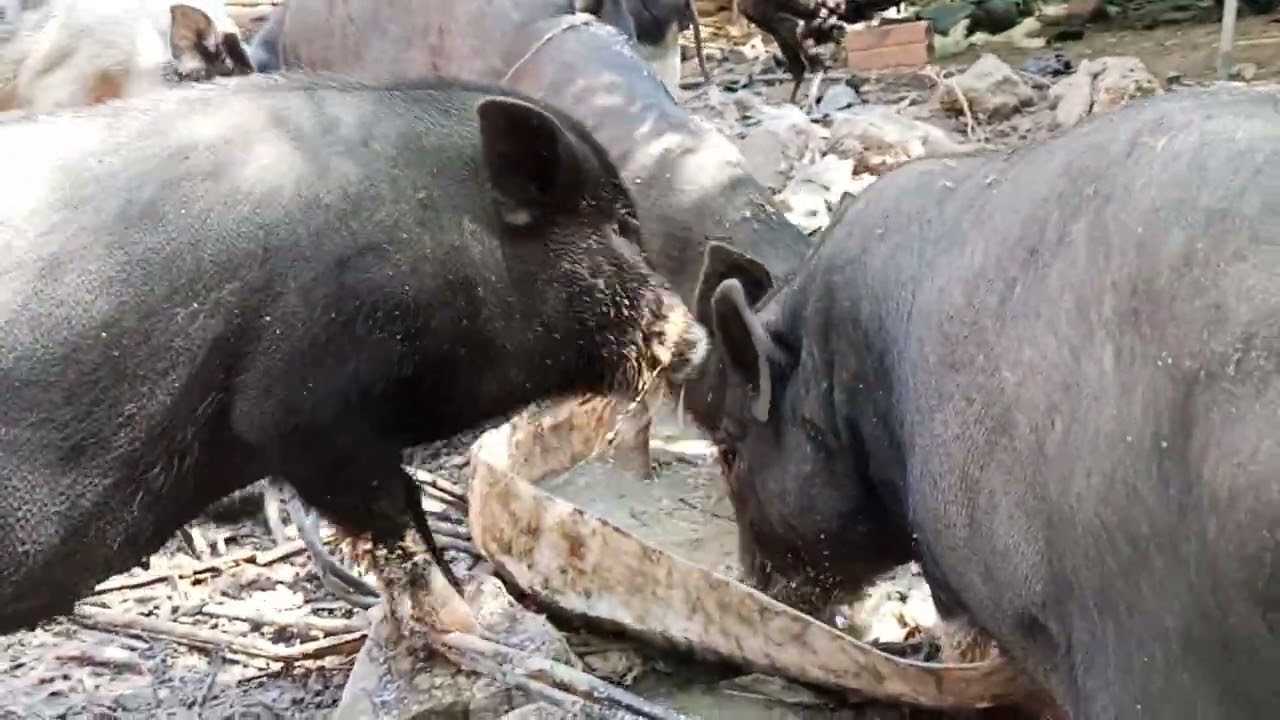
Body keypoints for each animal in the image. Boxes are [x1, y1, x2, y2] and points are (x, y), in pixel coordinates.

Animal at [0, 75, 708, 637]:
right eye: (620, 226)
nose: (697, 341)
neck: (456, 242)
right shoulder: (294, 403)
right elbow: (393, 508)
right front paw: (469, 628)